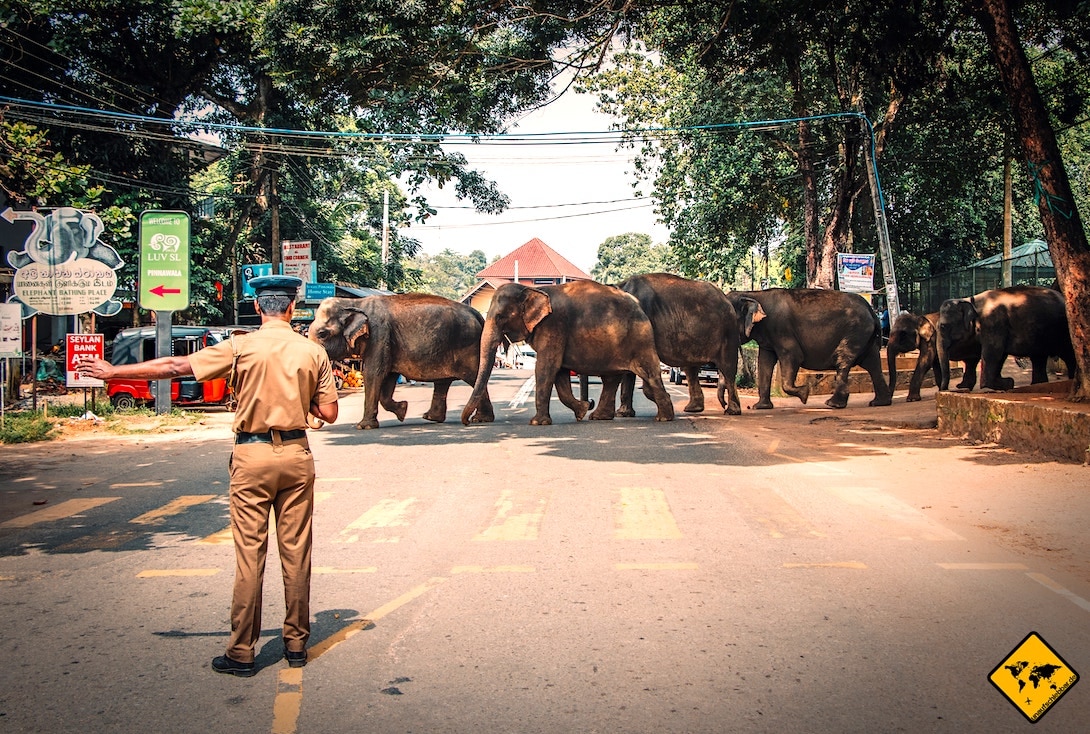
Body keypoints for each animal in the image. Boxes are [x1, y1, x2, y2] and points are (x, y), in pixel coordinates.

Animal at [307, 294, 494, 429]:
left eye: (322, 334)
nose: (319, 423)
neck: (354, 303)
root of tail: (477, 314)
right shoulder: (387, 344)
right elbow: (387, 379)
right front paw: (403, 410)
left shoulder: (379, 336)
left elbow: (373, 374)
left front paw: (363, 427)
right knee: (443, 382)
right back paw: (432, 418)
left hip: (467, 348)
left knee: (474, 377)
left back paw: (480, 420)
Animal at [459, 279, 671, 423]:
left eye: (501, 317)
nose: (468, 422)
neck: (534, 290)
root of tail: (638, 304)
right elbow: (559, 372)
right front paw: (582, 410)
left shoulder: (553, 325)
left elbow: (546, 368)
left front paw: (537, 423)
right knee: (611, 379)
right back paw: (597, 416)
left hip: (640, 339)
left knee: (649, 372)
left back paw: (664, 418)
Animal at [614, 271, 758, 414]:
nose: (723, 404)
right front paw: (623, 413)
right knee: (691, 369)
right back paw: (694, 409)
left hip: (727, 330)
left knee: (727, 367)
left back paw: (731, 411)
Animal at [723, 285, 893, 410]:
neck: (754, 294)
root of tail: (871, 309)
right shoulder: (768, 336)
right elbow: (764, 362)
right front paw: (760, 407)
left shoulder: (781, 329)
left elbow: (793, 355)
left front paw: (805, 394)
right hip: (865, 335)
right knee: (872, 363)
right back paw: (879, 403)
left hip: (856, 331)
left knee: (844, 360)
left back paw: (833, 404)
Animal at [933, 285, 1076, 392]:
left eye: (943, 327)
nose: (945, 389)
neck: (971, 300)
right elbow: (977, 357)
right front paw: (964, 387)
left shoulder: (993, 323)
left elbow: (993, 353)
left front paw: (991, 386)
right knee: (1038, 358)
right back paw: (1038, 384)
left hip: (1063, 331)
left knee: (1068, 355)